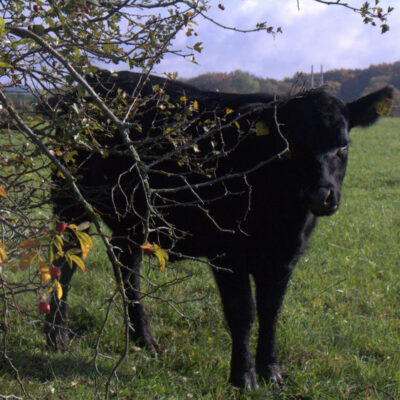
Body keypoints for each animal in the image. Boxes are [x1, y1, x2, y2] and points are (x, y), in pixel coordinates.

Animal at [47, 70, 394, 390]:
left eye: (343, 146)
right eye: (290, 146)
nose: (320, 196)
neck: (284, 217)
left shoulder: (285, 256)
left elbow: (271, 311)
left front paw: (271, 373)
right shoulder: (228, 253)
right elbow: (243, 312)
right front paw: (243, 378)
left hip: (130, 220)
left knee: (126, 268)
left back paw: (144, 340)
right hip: (71, 201)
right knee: (65, 261)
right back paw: (57, 336)